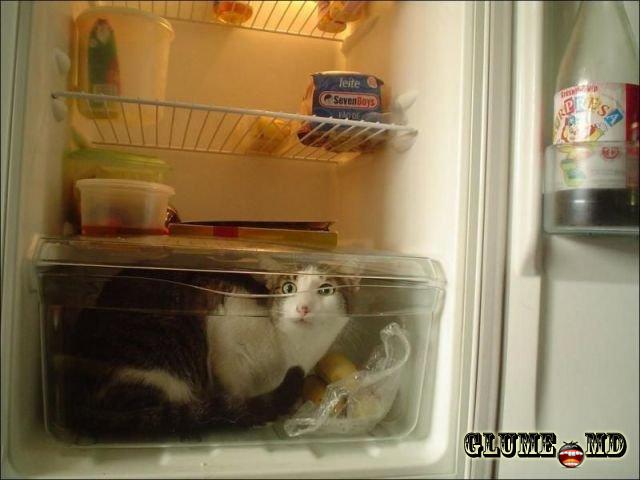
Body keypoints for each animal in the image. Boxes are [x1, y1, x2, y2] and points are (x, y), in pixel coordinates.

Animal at [57, 265, 359, 441]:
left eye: (326, 290)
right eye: (288, 288)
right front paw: (249, 411)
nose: (303, 307)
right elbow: (235, 383)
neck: (292, 347)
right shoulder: (226, 319)